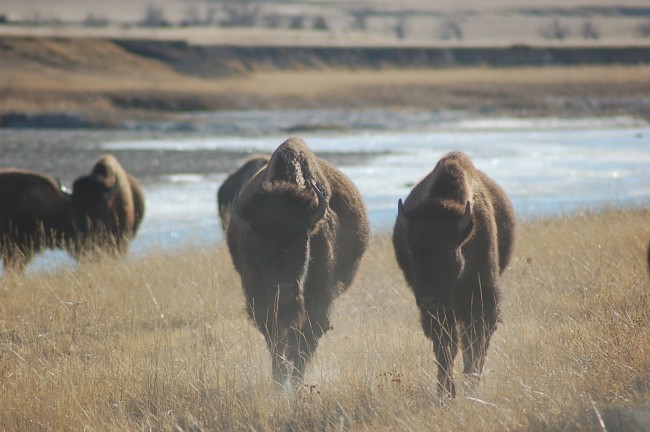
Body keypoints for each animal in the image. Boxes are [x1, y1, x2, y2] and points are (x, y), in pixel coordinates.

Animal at [226, 137, 370, 388]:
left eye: (303, 238)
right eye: (258, 242)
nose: (284, 290)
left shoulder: (319, 298)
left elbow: (306, 337)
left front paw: (293, 383)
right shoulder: (260, 300)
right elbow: (275, 338)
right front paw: (280, 380)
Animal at [393, 151, 515, 399]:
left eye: (450, 250)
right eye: (412, 251)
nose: (428, 298)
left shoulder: (483, 299)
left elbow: (475, 342)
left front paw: (471, 384)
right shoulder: (437, 313)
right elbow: (446, 346)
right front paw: (446, 392)